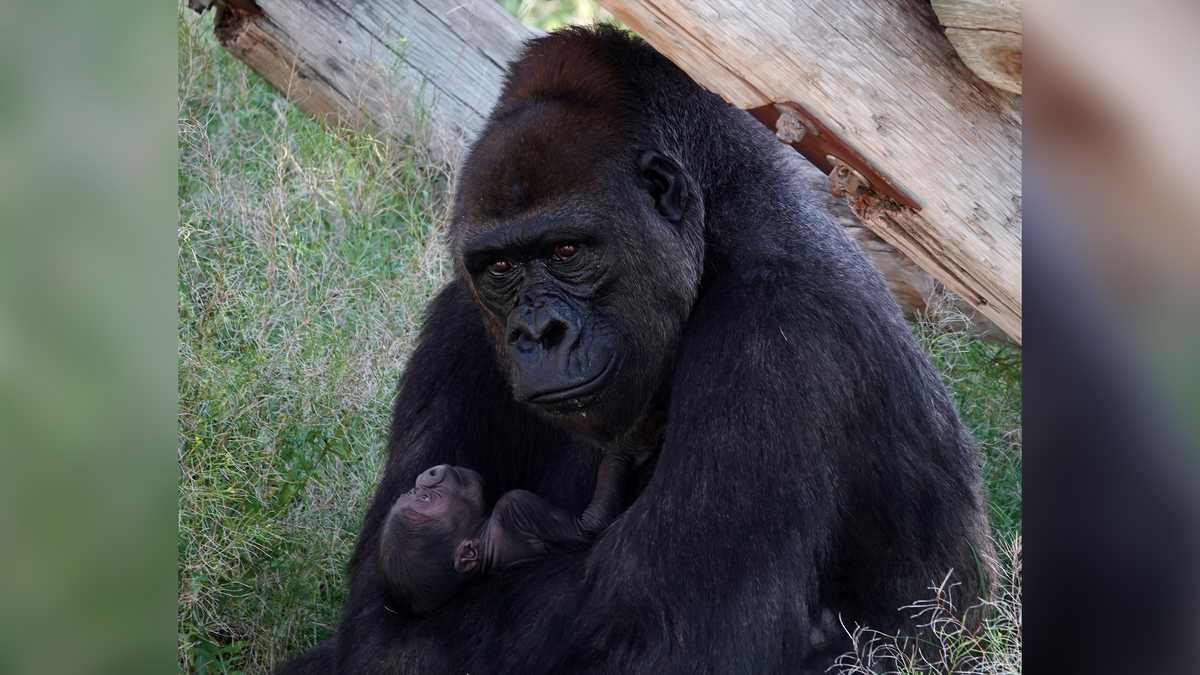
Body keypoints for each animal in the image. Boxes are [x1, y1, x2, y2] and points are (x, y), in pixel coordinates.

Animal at [379, 454, 638, 612]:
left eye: (416, 494)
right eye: (425, 499)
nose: (428, 473)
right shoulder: (516, 506)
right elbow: (590, 527)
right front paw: (621, 448)